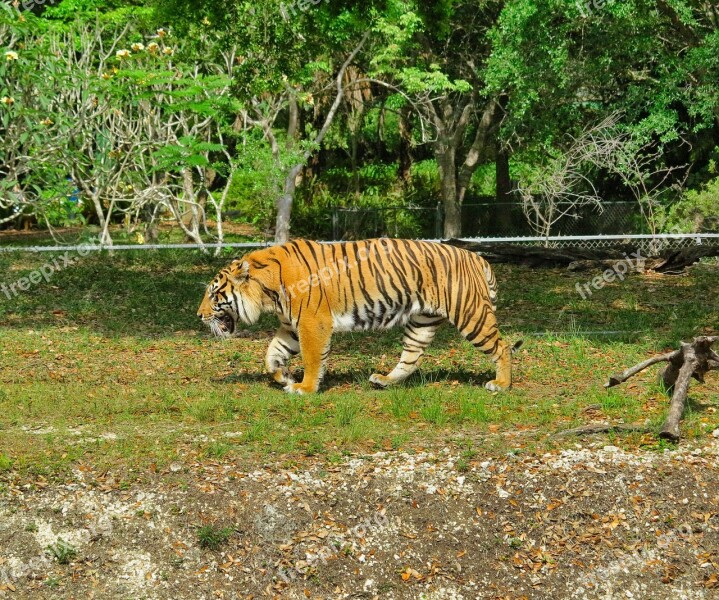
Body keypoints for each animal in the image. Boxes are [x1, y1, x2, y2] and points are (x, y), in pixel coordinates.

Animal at [200, 237, 520, 396]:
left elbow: (313, 358)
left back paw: (501, 384)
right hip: (422, 322)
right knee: (411, 358)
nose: (199, 315)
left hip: (471, 315)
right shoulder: (291, 326)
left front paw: (304, 388)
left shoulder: (312, 323)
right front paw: (282, 376)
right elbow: (271, 354)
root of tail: (476, 257)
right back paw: (385, 381)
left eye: (214, 295)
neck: (268, 293)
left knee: (502, 347)